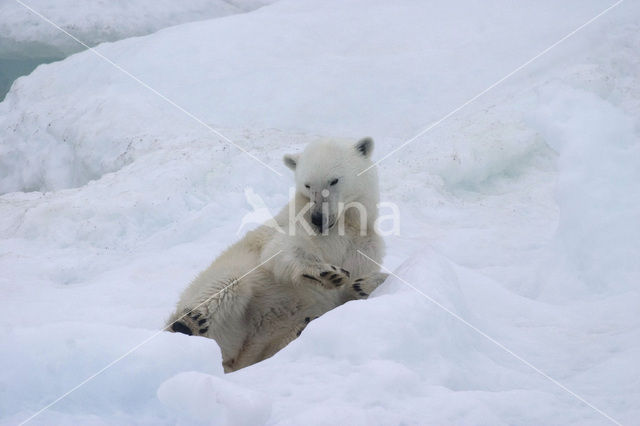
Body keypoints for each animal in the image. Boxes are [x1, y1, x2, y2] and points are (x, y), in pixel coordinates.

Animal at [166, 138, 384, 372]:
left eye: (333, 181)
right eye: (307, 185)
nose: (318, 218)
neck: (346, 222)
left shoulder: (364, 244)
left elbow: (354, 285)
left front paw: (363, 284)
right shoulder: (297, 222)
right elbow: (280, 248)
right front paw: (328, 273)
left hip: (261, 342)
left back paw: (302, 326)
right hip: (222, 296)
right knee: (228, 285)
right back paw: (188, 324)